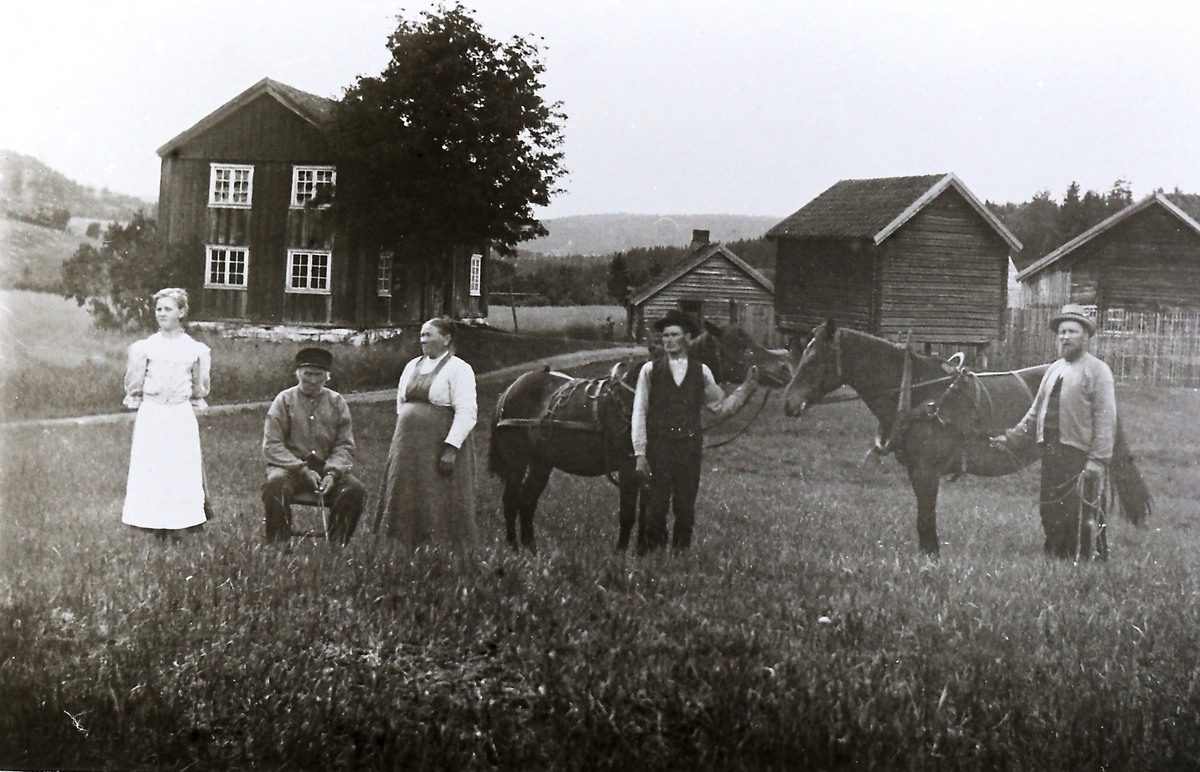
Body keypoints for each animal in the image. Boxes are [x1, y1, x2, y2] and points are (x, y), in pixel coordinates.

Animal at [492, 324, 792, 552]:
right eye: (742, 346)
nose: (785, 367)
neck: (633, 397)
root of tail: (510, 390)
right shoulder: (628, 469)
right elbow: (628, 514)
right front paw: (621, 553)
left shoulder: (650, 471)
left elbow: (647, 513)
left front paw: (642, 551)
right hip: (518, 461)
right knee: (510, 501)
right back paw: (514, 549)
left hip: (542, 462)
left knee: (526, 502)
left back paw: (531, 549)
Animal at [782, 319, 1147, 554]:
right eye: (801, 354)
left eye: (815, 359)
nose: (789, 402)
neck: (916, 393)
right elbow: (923, 519)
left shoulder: (926, 472)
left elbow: (925, 519)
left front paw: (930, 558)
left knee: (1091, 509)